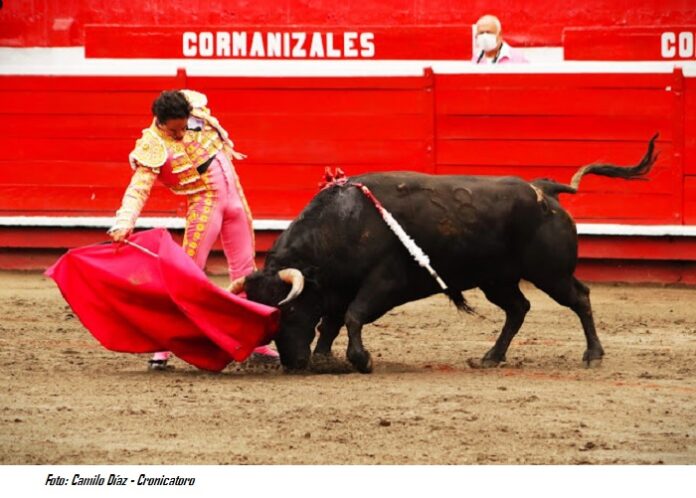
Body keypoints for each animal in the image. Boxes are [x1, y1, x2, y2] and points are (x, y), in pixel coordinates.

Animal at [230, 135, 658, 373]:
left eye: (286, 311)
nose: (293, 363)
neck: (342, 224)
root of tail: (544, 190)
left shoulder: (384, 282)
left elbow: (353, 316)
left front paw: (360, 360)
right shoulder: (336, 288)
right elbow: (332, 322)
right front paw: (325, 357)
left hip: (550, 273)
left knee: (579, 298)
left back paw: (593, 355)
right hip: (496, 279)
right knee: (518, 308)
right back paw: (490, 357)